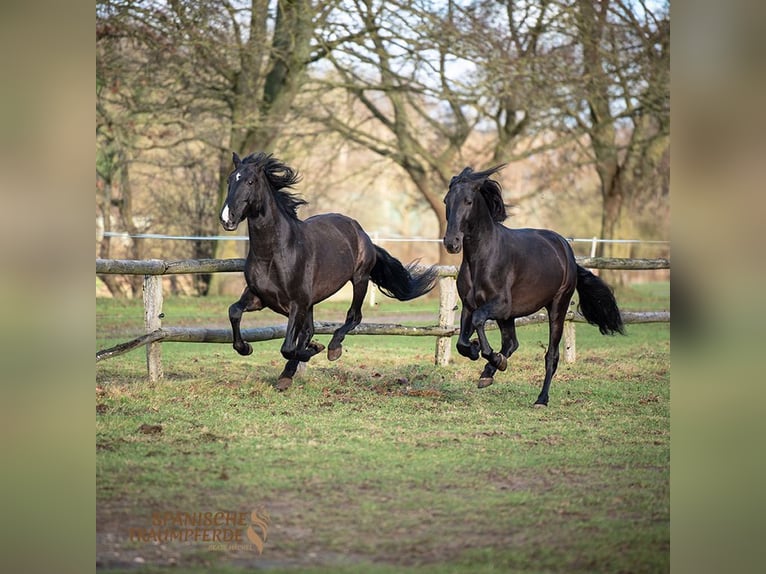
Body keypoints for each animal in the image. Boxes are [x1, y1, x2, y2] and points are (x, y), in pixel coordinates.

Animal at [222, 152, 438, 392]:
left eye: (250, 181)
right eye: (230, 180)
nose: (227, 218)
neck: (275, 253)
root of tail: (359, 229)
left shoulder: (297, 304)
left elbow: (288, 346)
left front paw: (313, 350)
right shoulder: (261, 298)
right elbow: (234, 311)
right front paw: (246, 348)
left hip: (360, 279)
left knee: (354, 316)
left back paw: (333, 348)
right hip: (312, 302)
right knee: (310, 329)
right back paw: (289, 372)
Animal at [444, 166, 624, 408]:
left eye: (468, 201)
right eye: (446, 201)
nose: (451, 243)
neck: (481, 259)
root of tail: (566, 251)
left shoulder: (500, 304)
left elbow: (479, 320)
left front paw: (488, 355)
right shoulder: (469, 306)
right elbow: (462, 342)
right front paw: (478, 352)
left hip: (557, 307)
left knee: (551, 356)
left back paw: (541, 398)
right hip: (509, 316)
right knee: (511, 343)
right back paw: (489, 372)